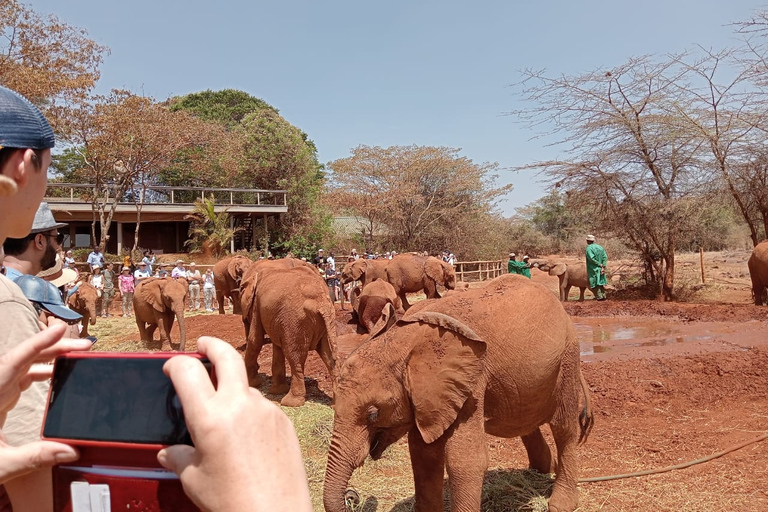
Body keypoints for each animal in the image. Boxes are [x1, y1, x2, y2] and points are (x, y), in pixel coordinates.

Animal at [240, 266, 336, 406]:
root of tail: (321, 301)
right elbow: (276, 346)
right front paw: (276, 391)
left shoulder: (257, 305)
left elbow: (255, 340)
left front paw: (253, 385)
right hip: (323, 324)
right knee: (327, 356)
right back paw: (336, 403)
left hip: (296, 321)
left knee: (294, 356)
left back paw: (290, 402)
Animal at [324, 274, 592, 512]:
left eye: (373, 414)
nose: (352, 497)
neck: (402, 339)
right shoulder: (427, 396)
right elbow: (423, 454)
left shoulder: (470, 384)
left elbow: (465, 461)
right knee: (524, 420)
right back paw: (541, 469)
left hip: (568, 357)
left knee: (564, 428)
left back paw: (561, 503)